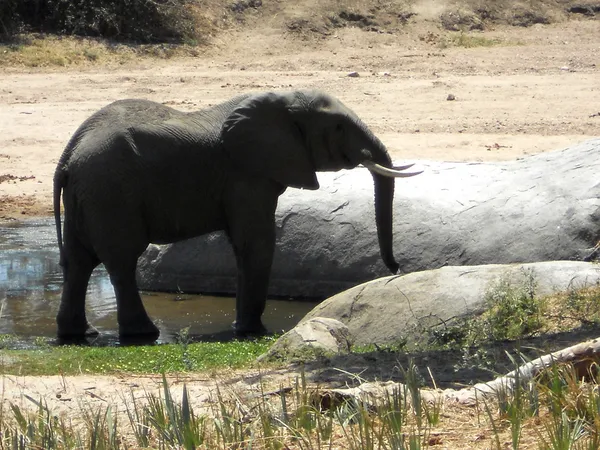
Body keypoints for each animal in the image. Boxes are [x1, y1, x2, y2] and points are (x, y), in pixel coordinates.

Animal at [54, 89, 420, 340]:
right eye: (340, 127)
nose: (396, 267)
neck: (280, 100)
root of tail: (68, 156)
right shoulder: (248, 174)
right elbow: (256, 242)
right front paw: (253, 331)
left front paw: (244, 328)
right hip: (111, 193)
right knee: (121, 260)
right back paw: (144, 335)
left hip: (88, 196)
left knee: (78, 261)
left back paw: (81, 335)